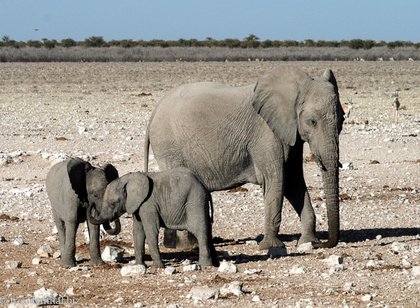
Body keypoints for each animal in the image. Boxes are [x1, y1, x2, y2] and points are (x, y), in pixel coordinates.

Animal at [88, 167, 220, 268]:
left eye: (113, 203)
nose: (91, 204)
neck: (129, 178)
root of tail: (205, 188)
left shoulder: (148, 204)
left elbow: (151, 230)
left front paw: (158, 267)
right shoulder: (138, 205)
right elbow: (138, 231)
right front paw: (139, 266)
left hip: (195, 201)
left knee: (200, 231)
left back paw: (204, 265)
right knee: (207, 231)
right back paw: (215, 264)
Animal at [144, 66, 344, 249]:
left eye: (342, 120)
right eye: (312, 122)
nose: (325, 244)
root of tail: (155, 110)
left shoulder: (291, 134)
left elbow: (293, 181)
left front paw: (308, 242)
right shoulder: (265, 134)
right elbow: (276, 179)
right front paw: (270, 246)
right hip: (168, 146)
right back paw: (187, 246)